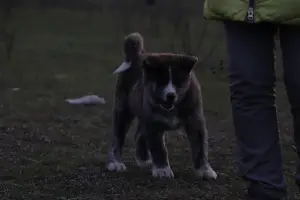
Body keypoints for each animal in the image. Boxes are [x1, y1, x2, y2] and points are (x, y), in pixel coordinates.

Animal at [106, 32, 217, 180]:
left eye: (178, 82)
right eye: (161, 82)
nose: (171, 95)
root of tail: (137, 54)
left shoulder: (195, 121)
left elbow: (200, 148)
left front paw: (205, 170)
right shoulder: (154, 124)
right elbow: (159, 149)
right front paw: (162, 170)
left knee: (139, 135)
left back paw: (144, 160)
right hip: (123, 109)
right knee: (118, 137)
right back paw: (115, 163)